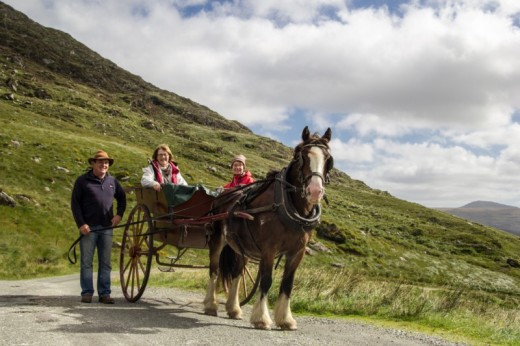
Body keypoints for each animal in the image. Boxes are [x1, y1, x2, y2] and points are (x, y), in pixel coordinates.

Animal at [203, 126, 334, 330]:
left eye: (328, 160)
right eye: (301, 156)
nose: (315, 191)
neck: (286, 205)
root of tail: (221, 194)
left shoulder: (297, 251)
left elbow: (287, 283)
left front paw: (285, 319)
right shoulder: (269, 249)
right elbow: (266, 281)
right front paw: (262, 318)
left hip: (242, 248)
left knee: (237, 274)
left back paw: (234, 309)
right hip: (217, 239)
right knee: (214, 270)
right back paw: (210, 305)